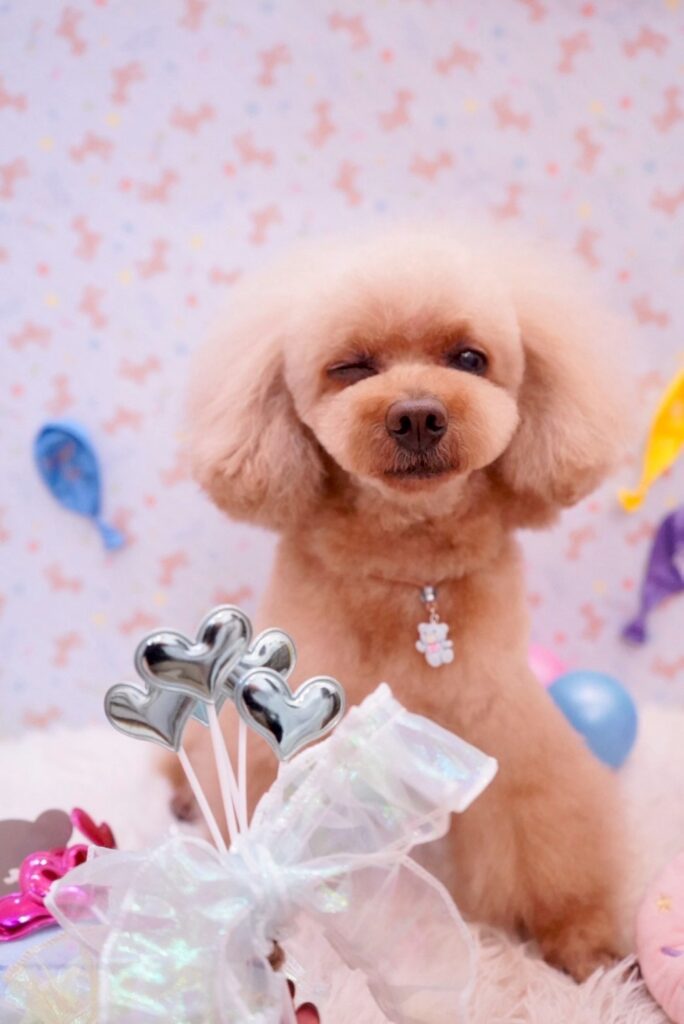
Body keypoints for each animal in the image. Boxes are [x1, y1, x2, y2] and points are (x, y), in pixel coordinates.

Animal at [172, 227, 629, 981]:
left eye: (469, 358)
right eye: (351, 368)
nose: (417, 415)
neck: (409, 564)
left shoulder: (501, 720)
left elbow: (542, 826)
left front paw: (579, 935)